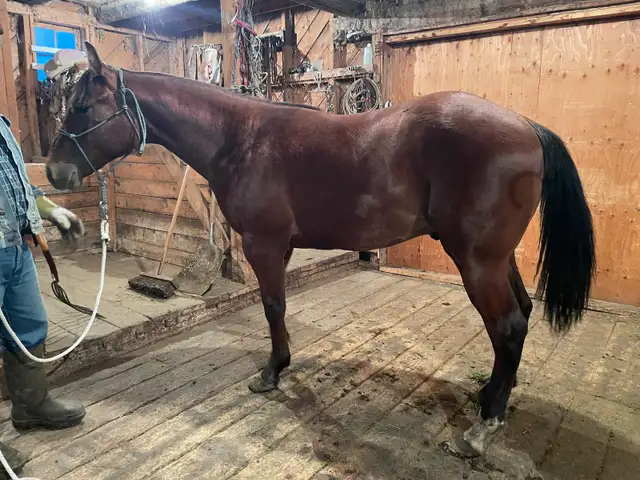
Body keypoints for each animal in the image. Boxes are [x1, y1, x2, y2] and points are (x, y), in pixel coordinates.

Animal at [46, 42, 595, 458]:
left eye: (82, 107)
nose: (53, 173)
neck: (241, 139)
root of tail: (524, 125)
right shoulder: (282, 248)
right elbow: (279, 307)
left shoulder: (264, 246)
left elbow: (272, 306)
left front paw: (271, 373)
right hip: (497, 260)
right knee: (520, 317)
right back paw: (490, 397)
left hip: (478, 262)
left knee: (508, 327)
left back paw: (483, 428)